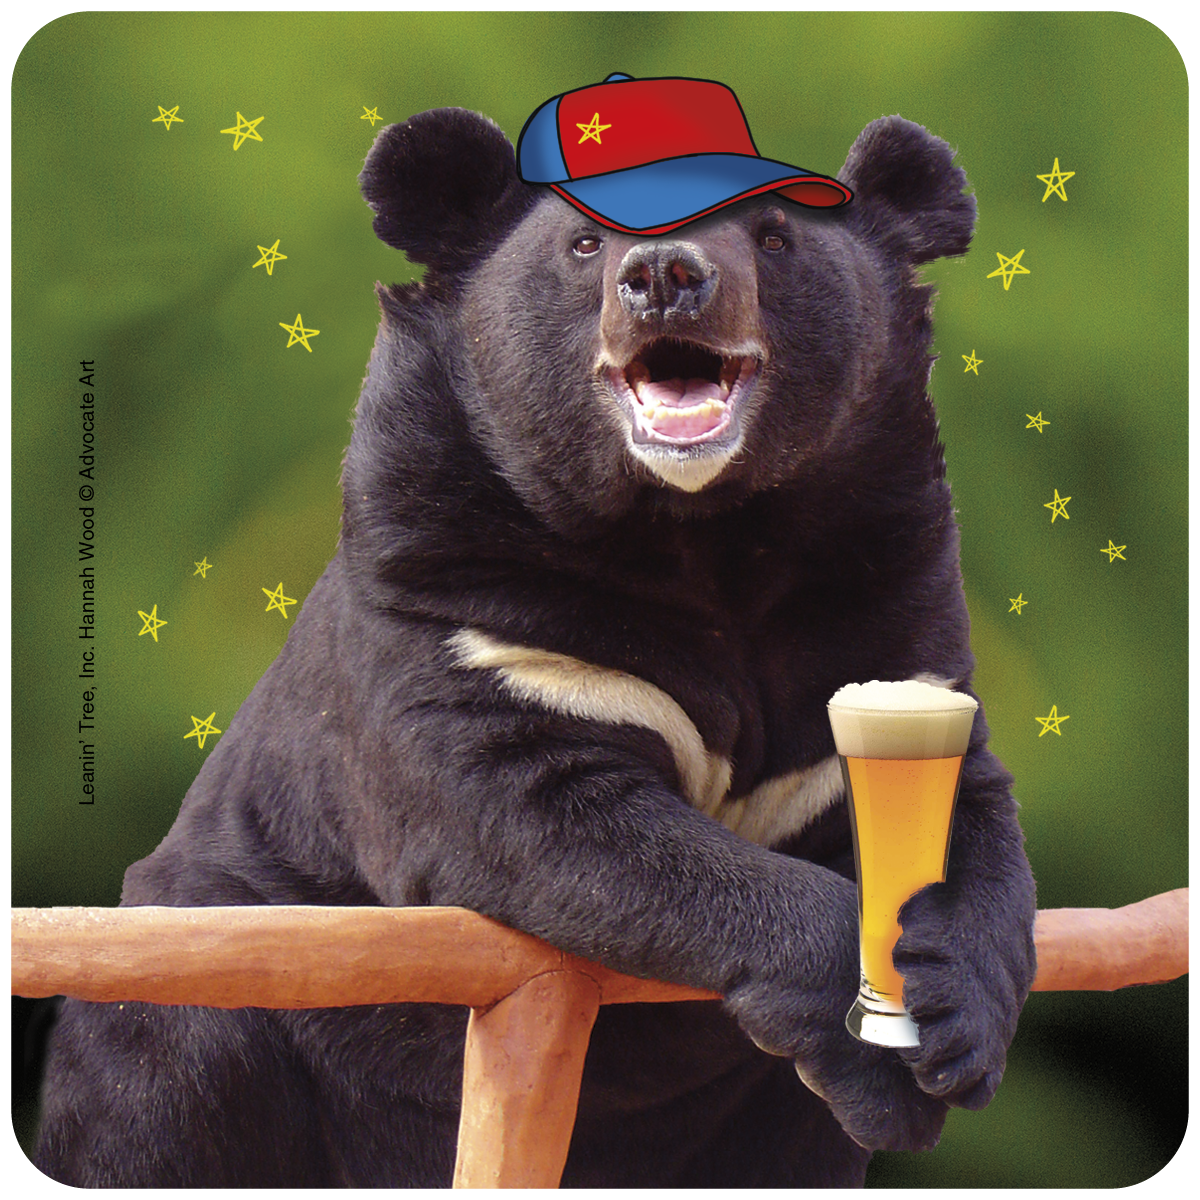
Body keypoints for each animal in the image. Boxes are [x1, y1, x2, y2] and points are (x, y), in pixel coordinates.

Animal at [33, 103, 1037, 1188]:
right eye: (586, 243)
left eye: (776, 236)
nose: (666, 273)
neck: (702, 533)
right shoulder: (473, 617)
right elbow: (534, 804)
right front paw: (874, 1059)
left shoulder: (894, 601)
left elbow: (971, 816)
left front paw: (954, 1027)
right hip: (220, 977)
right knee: (167, 1092)